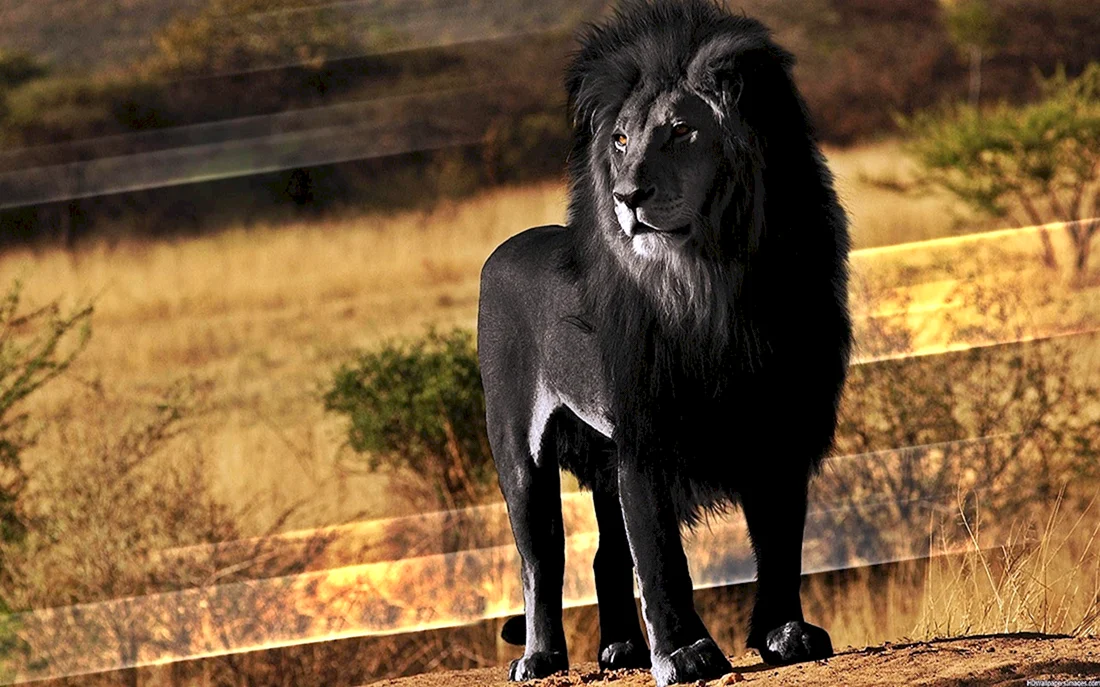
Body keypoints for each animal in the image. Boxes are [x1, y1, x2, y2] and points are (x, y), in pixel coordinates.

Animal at [476, 1, 851, 684]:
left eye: (681, 131)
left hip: (600, 457)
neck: (713, 284)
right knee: (539, 558)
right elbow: (661, 557)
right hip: (518, 447)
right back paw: (541, 657)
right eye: (621, 141)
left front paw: (786, 635)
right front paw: (685, 654)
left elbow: (781, 540)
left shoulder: (781, 423)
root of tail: (507, 246)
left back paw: (621, 649)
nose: (627, 195)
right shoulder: (644, 434)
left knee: (603, 557)